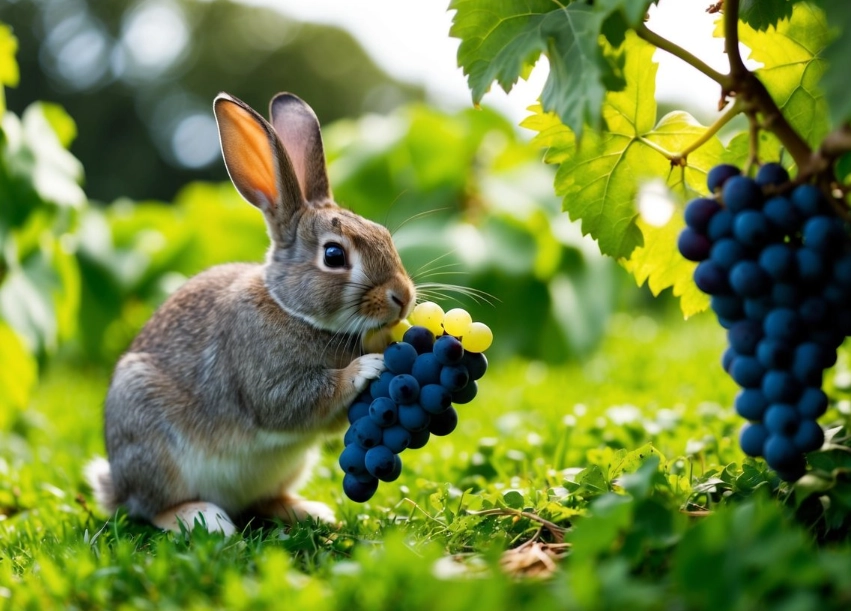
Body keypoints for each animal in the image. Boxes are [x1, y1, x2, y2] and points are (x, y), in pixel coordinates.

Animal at [85, 91, 416, 535]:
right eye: (334, 255)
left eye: (382, 234)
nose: (403, 297)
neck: (290, 309)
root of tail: (116, 486)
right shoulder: (267, 378)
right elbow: (295, 400)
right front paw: (366, 367)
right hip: (150, 438)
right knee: (153, 508)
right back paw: (204, 519)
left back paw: (310, 511)